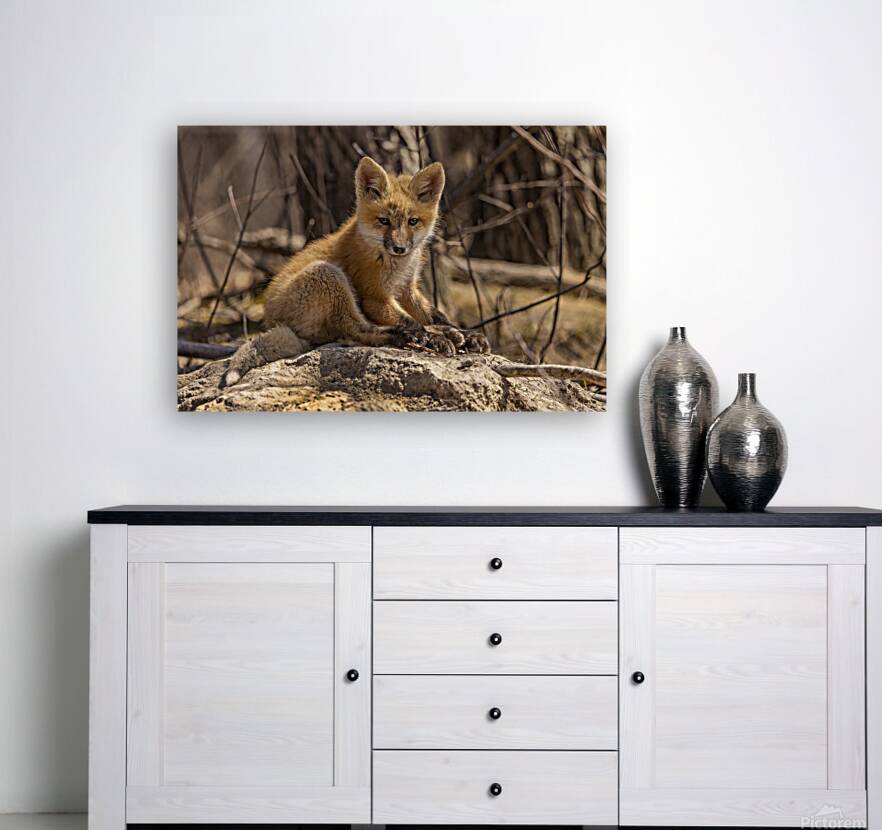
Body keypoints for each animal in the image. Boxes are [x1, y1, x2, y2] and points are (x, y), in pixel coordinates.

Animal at [219, 156, 489, 388]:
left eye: (413, 221)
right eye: (383, 221)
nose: (400, 248)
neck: (396, 264)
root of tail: (271, 320)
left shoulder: (406, 289)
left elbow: (434, 315)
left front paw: (463, 332)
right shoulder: (375, 297)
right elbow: (412, 323)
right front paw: (434, 338)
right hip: (329, 277)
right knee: (357, 330)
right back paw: (406, 337)